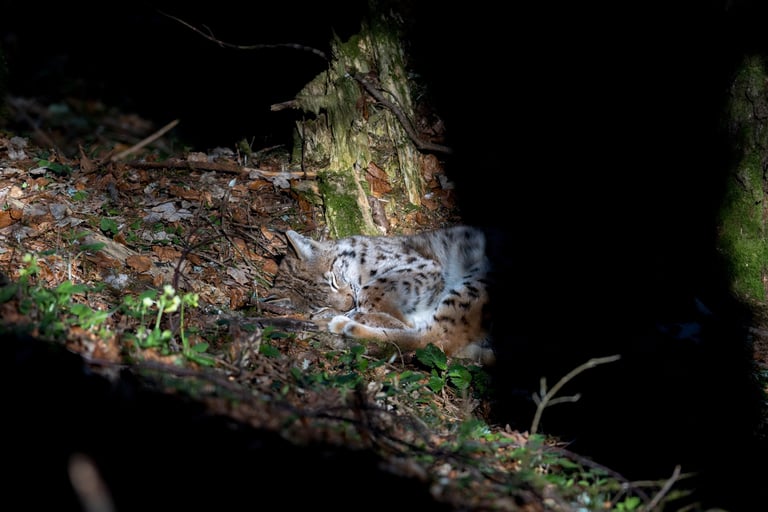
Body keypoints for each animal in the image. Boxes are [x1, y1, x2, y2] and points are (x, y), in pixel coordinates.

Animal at [268, 225, 494, 365]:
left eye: (333, 281)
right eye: (321, 305)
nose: (347, 305)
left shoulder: (425, 266)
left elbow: (370, 292)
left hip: (478, 277)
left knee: (434, 339)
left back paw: (347, 325)